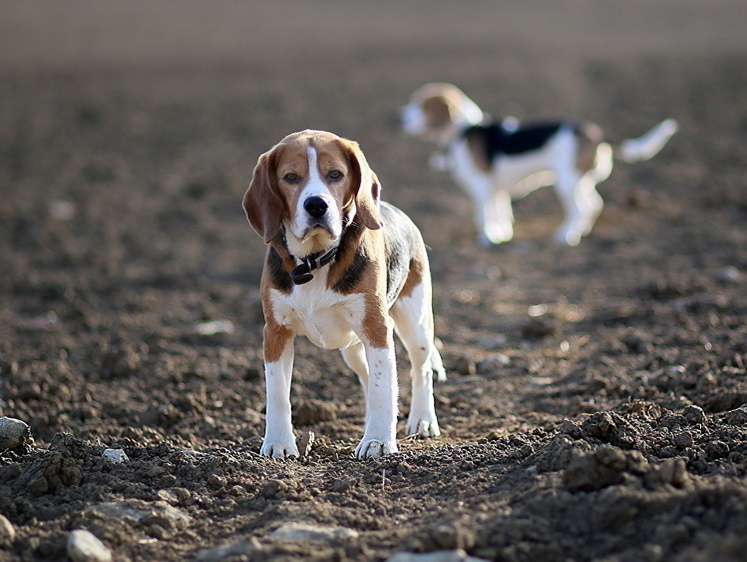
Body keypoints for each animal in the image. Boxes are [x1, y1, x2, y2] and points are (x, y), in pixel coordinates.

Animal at [244, 129, 444, 458]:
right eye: (291, 177)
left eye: (335, 174)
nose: (316, 205)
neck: (315, 259)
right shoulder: (275, 332)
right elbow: (277, 394)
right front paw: (278, 443)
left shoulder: (376, 328)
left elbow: (383, 389)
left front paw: (378, 442)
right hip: (352, 348)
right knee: (367, 376)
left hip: (415, 323)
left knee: (421, 369)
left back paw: (423, 420)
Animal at [400, 81, 680, 245]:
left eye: (422, 105)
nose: (397, 119)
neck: (464, 130)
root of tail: (594, 132)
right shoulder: (496, 190)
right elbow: (501, 213)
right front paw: (503, 235)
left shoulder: (481, 188)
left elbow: (484, 215)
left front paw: (488, 238)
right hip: (579, 181)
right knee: (594, 205)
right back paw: (581, 231)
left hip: (566, 183)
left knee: (581, 209)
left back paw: (565, 236)